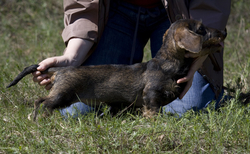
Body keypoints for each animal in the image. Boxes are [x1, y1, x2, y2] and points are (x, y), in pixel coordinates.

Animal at [7, 19, 227, 120]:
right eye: (201, 29)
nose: (224, 32)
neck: (168, 64)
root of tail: (60, 71)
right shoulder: (152, 96)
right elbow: (153, 111)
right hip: (63, 94)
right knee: (42, 102)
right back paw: (39, 118)